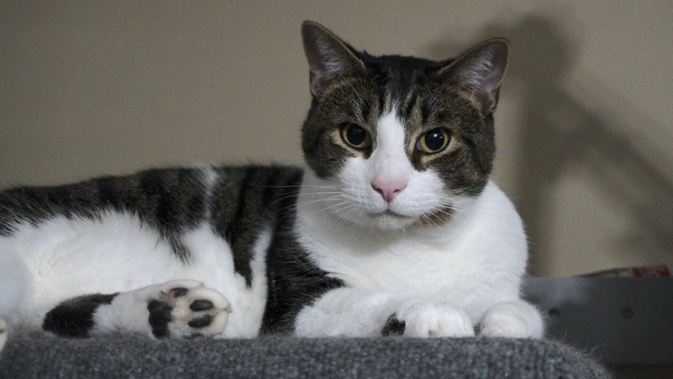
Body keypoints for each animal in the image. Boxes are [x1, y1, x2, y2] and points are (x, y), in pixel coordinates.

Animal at [0, 21, 540, 354]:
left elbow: (522, 314)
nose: (387, 186)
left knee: (58, 317)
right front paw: (435, 313)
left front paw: (499, 321)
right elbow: (365, 299)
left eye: (434, 140)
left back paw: (175, 310)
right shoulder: (294, 305)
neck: (413, 246)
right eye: (355, 136)